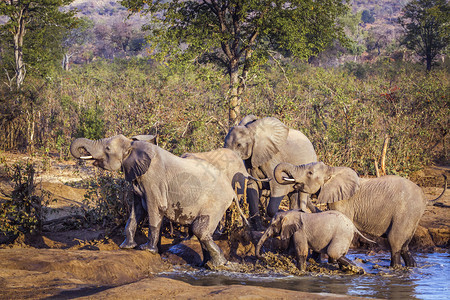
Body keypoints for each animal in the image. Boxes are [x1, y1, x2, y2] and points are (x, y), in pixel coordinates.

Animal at [69, 135, 243, 266]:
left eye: (108, 149)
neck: (132, 145)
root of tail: (231, 190)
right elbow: (136, 212)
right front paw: (126, 247)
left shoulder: (153, 180)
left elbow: (154, 209)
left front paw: (147, 249)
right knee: (202, 232)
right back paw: (207, 265)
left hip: (216, 202)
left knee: (200, 230)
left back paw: (219, 265)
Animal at [274, 162, 446, 268]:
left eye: (309, 173)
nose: (294, 184)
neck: (332, 170)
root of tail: (425, 198)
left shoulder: (344, 202)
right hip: (413, 216)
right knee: (405, 246)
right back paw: (411, 267)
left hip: (406, 212)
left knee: (395, 242)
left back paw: (395, 268)